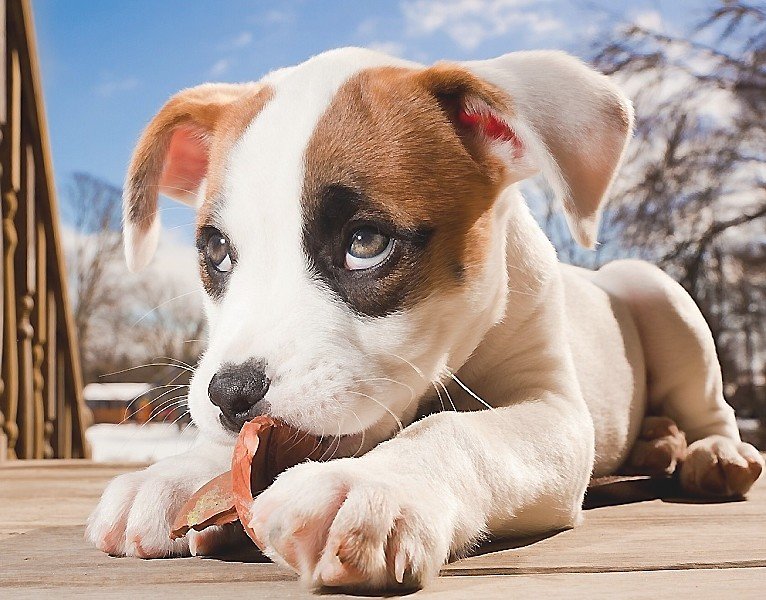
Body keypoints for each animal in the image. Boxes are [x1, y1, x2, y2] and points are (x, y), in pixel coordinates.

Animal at [86, 47, 764, 590]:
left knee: (712, 406)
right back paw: (656, 442)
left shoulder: (554, 415)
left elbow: (459, 431)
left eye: (365, 243)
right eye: (216, 251)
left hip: (660, 294)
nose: (230, 394)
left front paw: (373, 484)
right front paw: (175, 476)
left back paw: (715, 454)